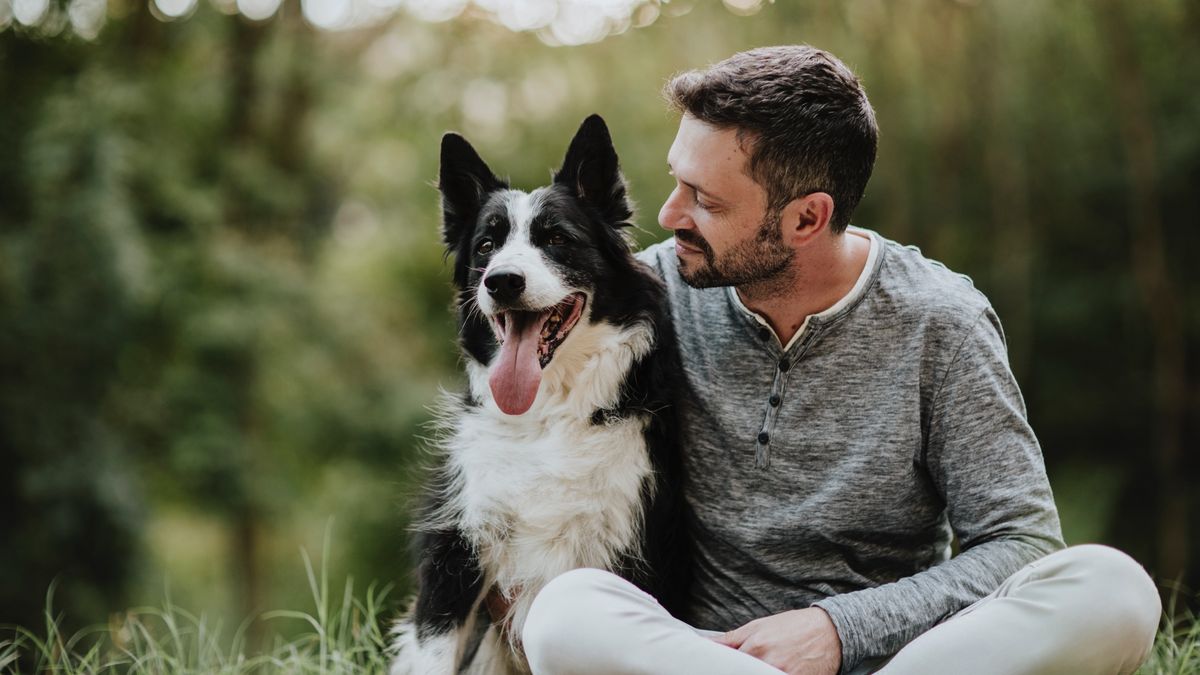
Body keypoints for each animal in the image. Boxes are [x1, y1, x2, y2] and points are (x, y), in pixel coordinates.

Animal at [391, 115, 696, 672]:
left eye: (556, 238)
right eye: (486, 246)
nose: (502, 281)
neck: (546, 416)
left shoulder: (634, 552)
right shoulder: (455, 559)